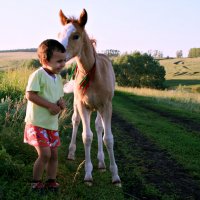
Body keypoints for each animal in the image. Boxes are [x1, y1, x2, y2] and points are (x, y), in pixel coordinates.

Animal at [57, 9, 120, 186]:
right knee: (76, 121)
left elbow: (108, 138)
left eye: (76, 36)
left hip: (98, 108)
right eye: (59, 34)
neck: (91, 74)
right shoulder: (82, 105)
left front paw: (115, 176)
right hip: (80, 105)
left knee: (99, 127)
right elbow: (86, 136)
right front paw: (87, 174)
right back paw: (71, 153)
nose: (56, 55)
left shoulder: (106, 106)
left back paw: (101, 162)